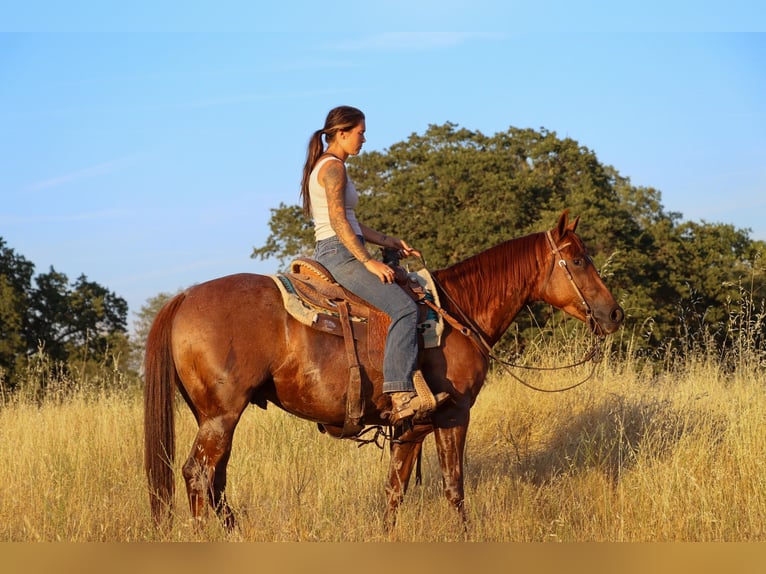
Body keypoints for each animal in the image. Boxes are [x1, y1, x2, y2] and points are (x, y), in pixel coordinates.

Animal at [142, 210, 624, 532]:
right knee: (198, 477)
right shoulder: (453, 415)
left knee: (215, 482)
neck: (456, 314)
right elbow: (453, 486)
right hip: (221, 416)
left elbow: (395, 490)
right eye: (578, 261)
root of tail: (183, 297)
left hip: (213, 417)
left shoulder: (411, 426)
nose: (614, 314)